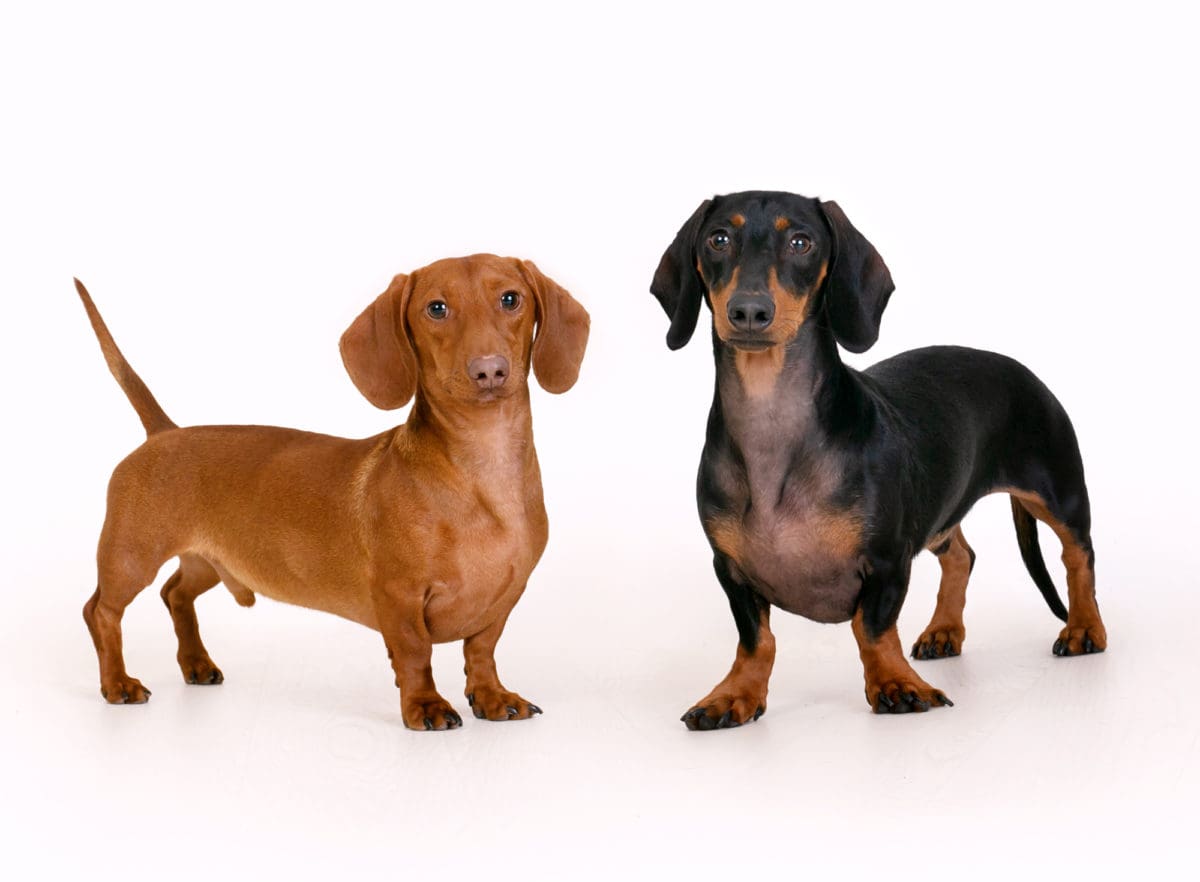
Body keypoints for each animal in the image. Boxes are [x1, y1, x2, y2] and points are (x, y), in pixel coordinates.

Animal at [72, 255, 588, 729]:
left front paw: (492, 696)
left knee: (175, 593)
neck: (481, 471)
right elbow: (415, 653)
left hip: (209, 561)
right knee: (101, 612)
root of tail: (163, 433)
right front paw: (425, 706)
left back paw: (196, 664)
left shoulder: (504, 598)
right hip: (130, 557)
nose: (489, 371)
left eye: (511, 299)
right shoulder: (399, 597)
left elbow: (482, 649)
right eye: (436, 308)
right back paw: (117, 683)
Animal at [652, 189, 1108, 729]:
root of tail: (1020, 369)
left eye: (801, 242)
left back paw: (1084, 628)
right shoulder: (730, 569)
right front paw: (734, 693)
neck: (773, 435)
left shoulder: (888, 559)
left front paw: (895, 684)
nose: (748, 311)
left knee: (1078, 556)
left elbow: (870, 628)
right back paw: (944, 630)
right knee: (961, 555)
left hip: (1058, 494)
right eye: (719, 239)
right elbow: (756, 640)